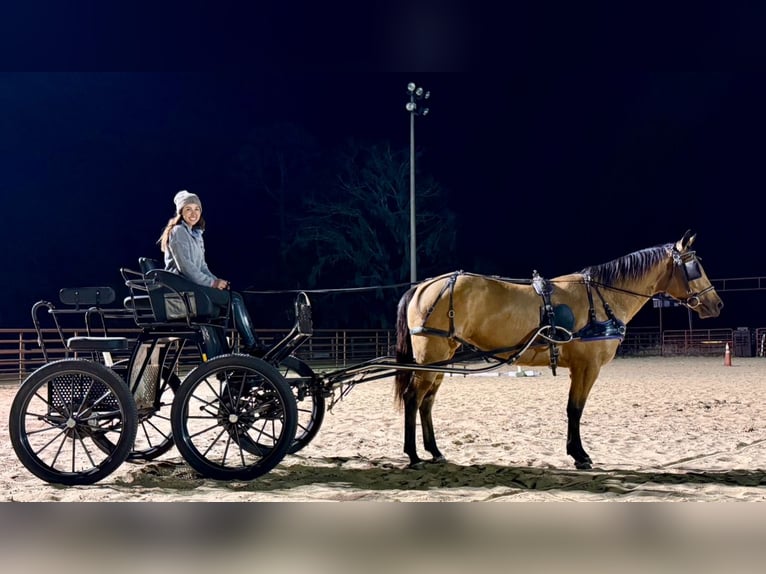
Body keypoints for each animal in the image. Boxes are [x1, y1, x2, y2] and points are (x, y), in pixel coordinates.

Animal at [396, 232, 728, 470]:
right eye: (694, 267)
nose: (717, 304)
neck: (602, 297)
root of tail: (423, 286)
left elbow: (573, 409)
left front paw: (576, 453)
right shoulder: (587, 367)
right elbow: (575, 409)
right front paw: (580, 455)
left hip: (442, 358)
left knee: (427, 402)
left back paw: (435, 452)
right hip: (432, 355)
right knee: (414, 398)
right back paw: (413, 455)